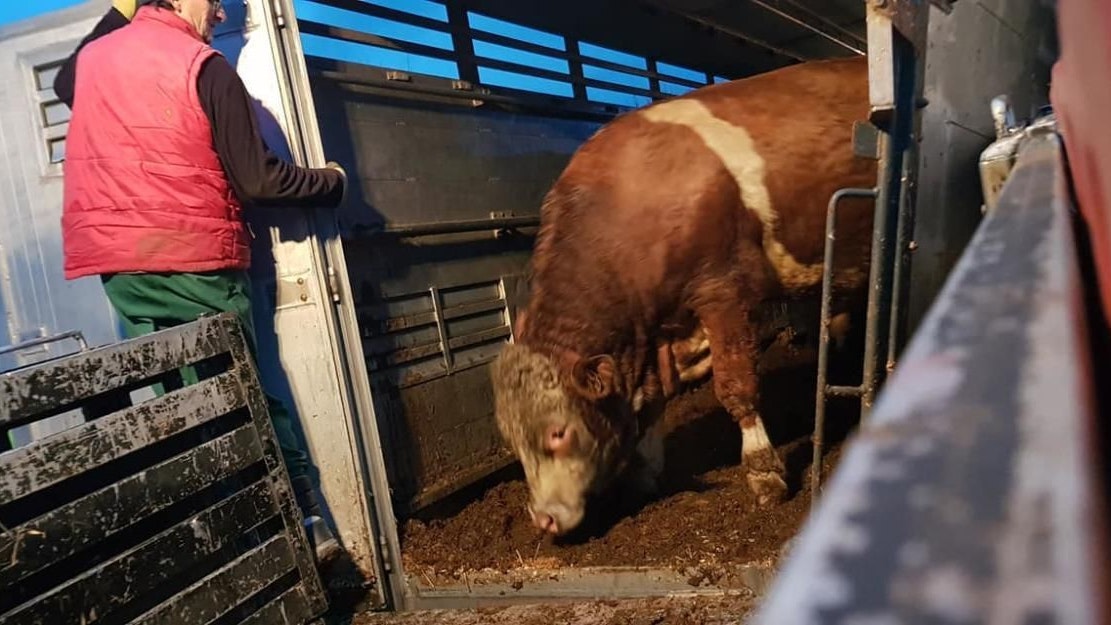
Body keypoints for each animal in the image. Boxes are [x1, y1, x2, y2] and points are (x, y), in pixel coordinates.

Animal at [491, 56, 876, 536]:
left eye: (557, 433)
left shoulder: (722, 291)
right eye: (513, 442)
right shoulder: (653, 328)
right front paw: (643, 475)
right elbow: (652, 399)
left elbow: (736, 386)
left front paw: (764, 472)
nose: (543, 519)